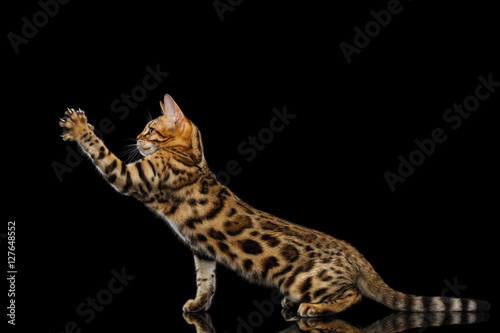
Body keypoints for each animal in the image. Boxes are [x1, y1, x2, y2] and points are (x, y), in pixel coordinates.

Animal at [57, 94, 488, 316]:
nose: (137, 137)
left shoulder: (135, 177)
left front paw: (80, 128)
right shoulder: (202, 251)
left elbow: (103, 155)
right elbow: (206, 280)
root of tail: (358, 257)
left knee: (352, 296)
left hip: (304, 279)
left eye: (149, 129)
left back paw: (313, 309)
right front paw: (198, 305)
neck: (193, 158)